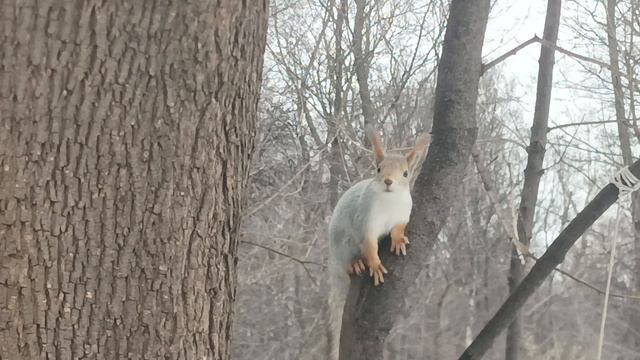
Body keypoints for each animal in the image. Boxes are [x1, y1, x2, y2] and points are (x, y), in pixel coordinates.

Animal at [328, 126, 428, 358]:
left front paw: (398, 240)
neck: (389, 200)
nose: (388, 181)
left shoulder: (402, 215)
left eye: (406, 173)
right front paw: (374, 264)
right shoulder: (366, 221)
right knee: (349, 259)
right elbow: (370, 244)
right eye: (378, 169)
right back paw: (355, 263)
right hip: (343, 244)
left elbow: (398, 228)